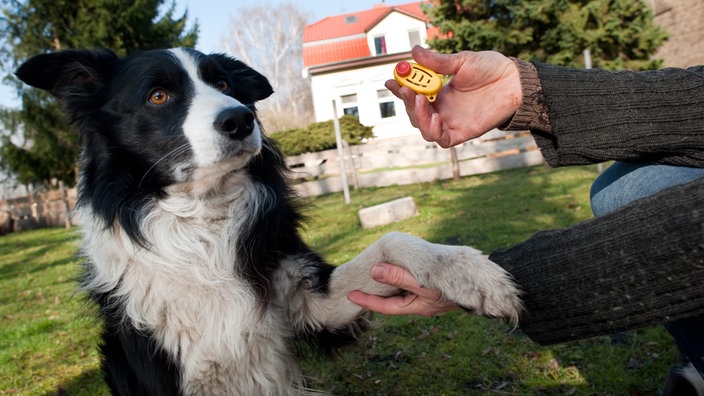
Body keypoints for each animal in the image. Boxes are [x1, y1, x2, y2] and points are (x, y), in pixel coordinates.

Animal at [15, 48, 524, 394]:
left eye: (225, 85)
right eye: (158, 95)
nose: (241, 120)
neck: (202, 220)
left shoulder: (309, 301)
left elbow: (392, 240)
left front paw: (470, 273)